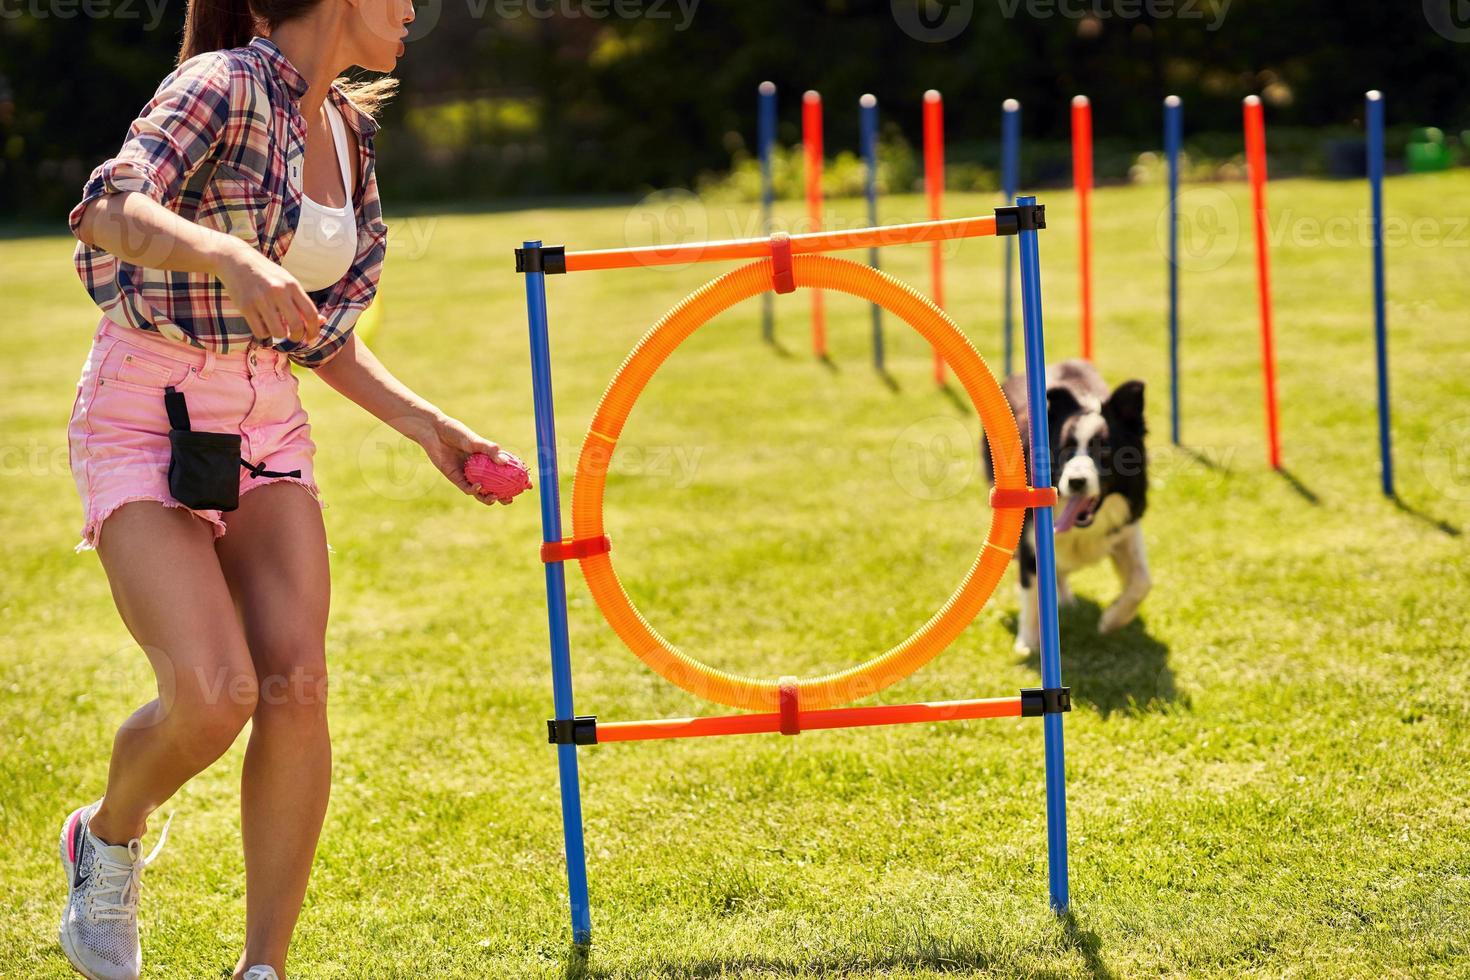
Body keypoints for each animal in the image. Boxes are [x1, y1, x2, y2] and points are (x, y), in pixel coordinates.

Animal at [987, 359, 1146, 652]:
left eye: (1104, 450)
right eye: (1065, 450)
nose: (1076, 481)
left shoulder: (1126, 528)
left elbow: (1142, 581)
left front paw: (1112, 620)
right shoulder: (1029, 539)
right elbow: (1031, 592)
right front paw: (1028, 642)